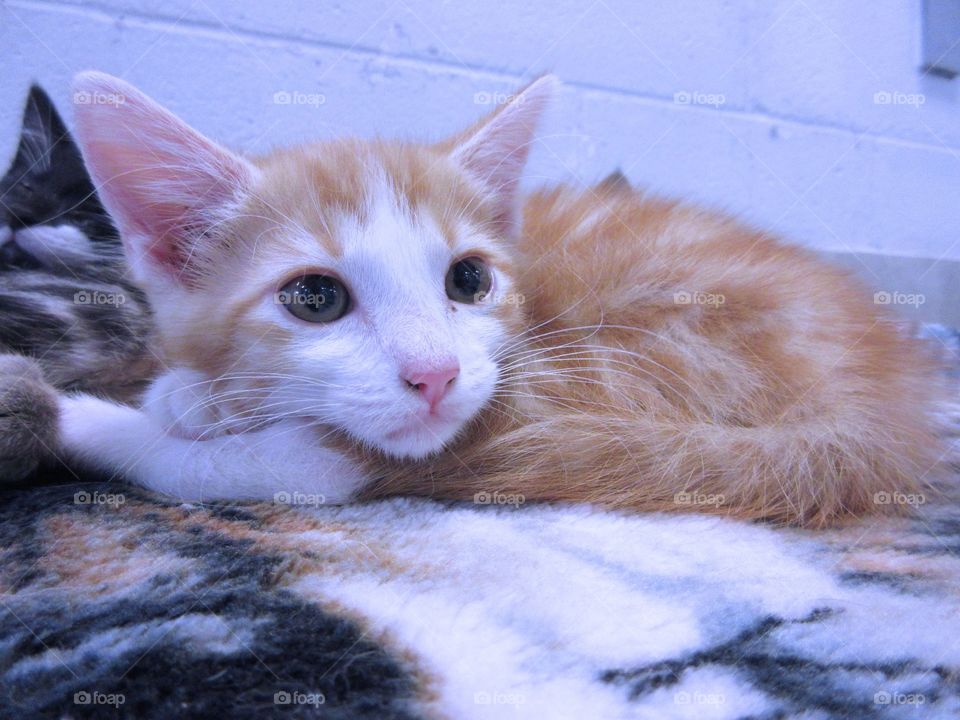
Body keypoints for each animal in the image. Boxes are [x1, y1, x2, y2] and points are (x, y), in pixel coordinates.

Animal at [62, 71, 944, 524]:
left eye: (468, 280)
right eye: (313, 297)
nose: (435, 377)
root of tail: (878, 394)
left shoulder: (441, 433)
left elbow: (236, 461)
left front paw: (90, 415)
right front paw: (193, 394)